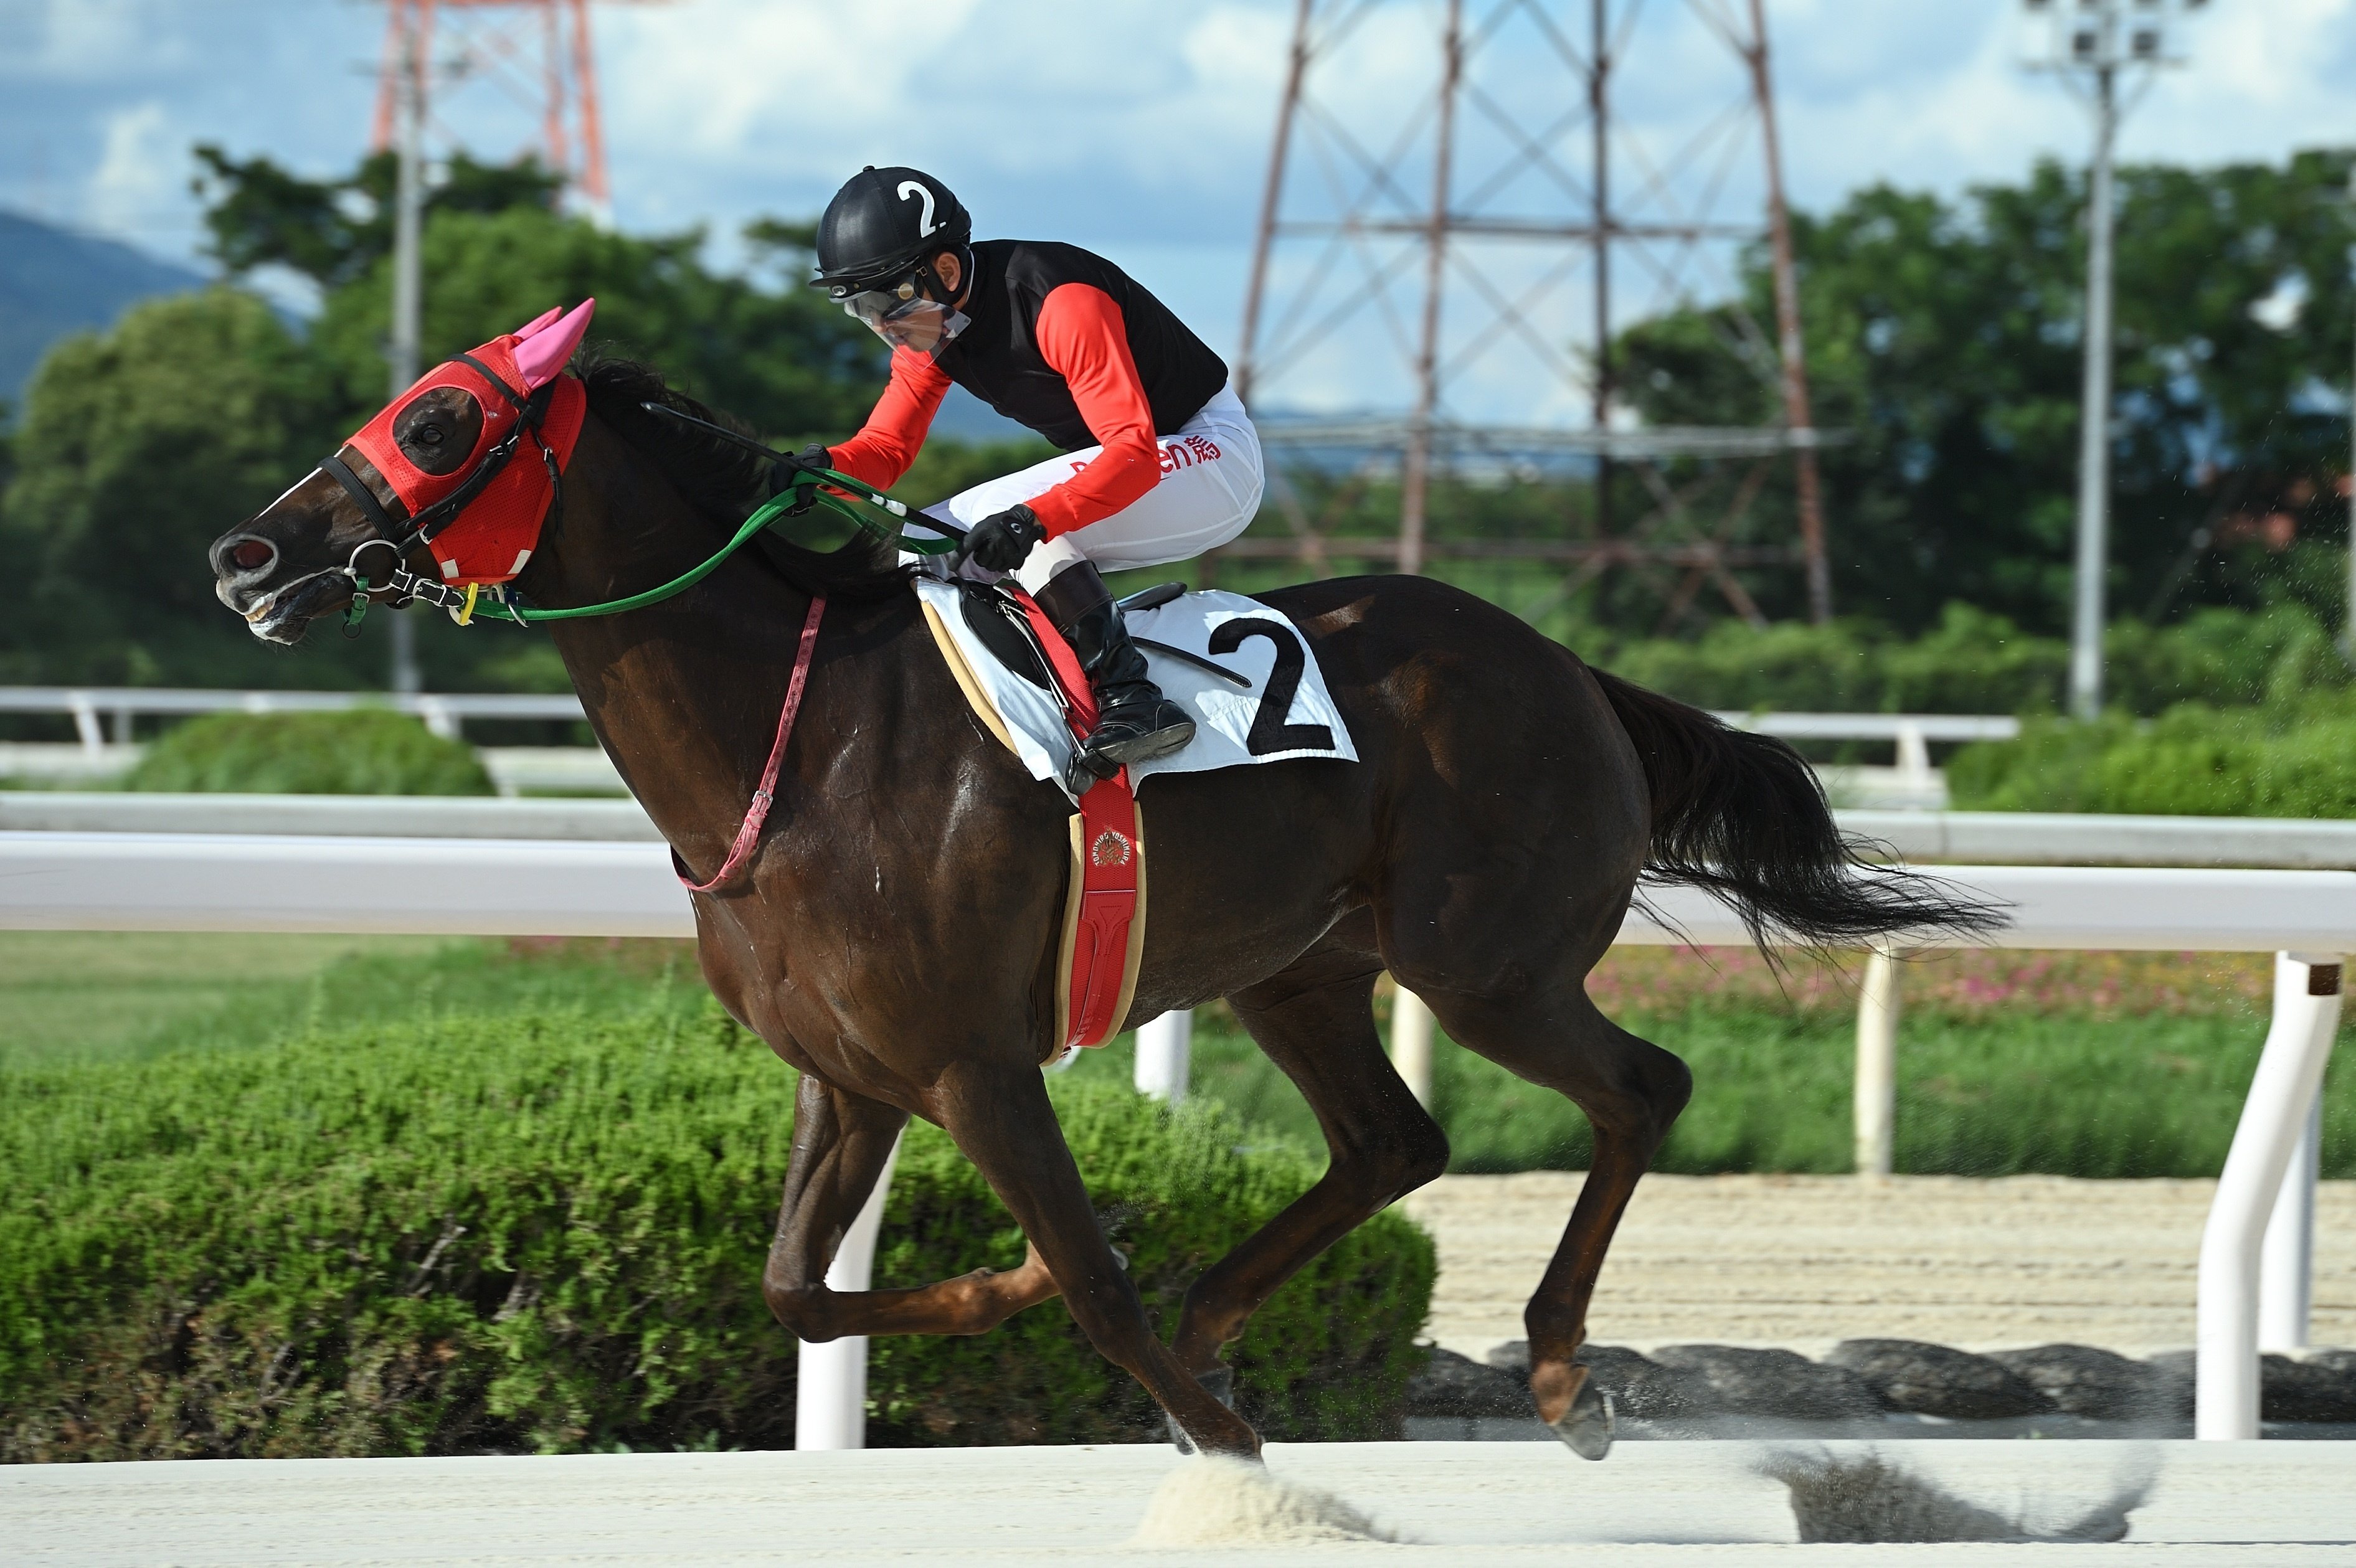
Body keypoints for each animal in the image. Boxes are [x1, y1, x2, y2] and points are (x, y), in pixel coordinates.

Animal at [207, 326, 1991, 1461]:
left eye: (438, 424)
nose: (245, 554)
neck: (793, 741)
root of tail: (1571, 668)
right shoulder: (851, 1075)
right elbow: (804, 1290)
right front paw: (1013, 1287)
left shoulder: (973, 1064)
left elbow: (1088, 1283)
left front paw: (1222, 1436)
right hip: (1300, 967)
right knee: (1394, 1142)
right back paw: (1239, 1310)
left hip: (1487, 965)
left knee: (1640, 1088)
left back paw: (1558, 1370)